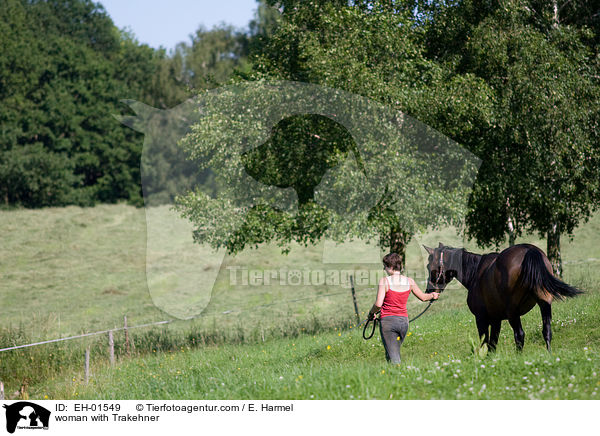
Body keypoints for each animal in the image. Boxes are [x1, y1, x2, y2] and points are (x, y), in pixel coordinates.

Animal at [424, 244, 584, 352]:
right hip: (544, 304)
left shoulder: (481, 318)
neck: (475, 272)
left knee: (519, 335)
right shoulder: (496, 320)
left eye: (429, 266)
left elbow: (485, 342)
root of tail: (529, 250)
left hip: (513, 312)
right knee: (547, 331)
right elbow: (492, 344)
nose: (429, 290)